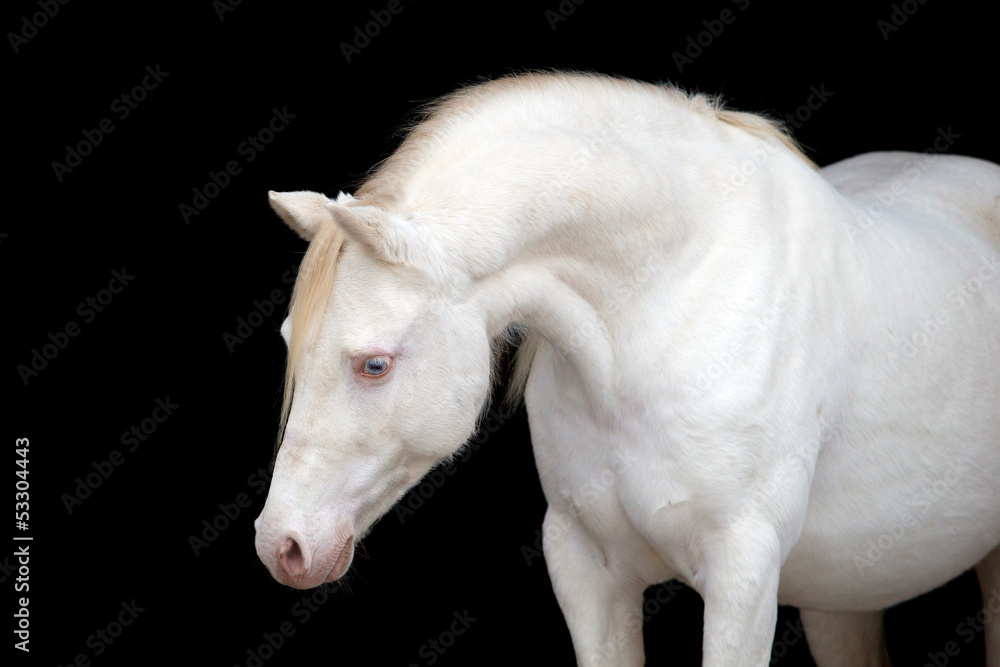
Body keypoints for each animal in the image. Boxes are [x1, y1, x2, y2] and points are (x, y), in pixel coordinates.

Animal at [253, 72, 1000, 666]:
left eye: (374, 364)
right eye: (290, 340)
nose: (281, 544)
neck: (668, 304)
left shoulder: (744, 574)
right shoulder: (585, 568)